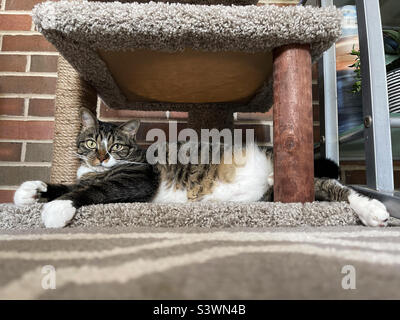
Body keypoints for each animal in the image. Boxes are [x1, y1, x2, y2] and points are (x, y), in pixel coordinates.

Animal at [14, 108, 390, 228]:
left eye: (117, 145)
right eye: (91, 143)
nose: (101, 158)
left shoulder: (137, 177)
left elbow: (91, 188)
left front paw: (56, 208)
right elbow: (70, 182)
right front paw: (31, 190)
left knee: (339, 189)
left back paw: (373, 210)